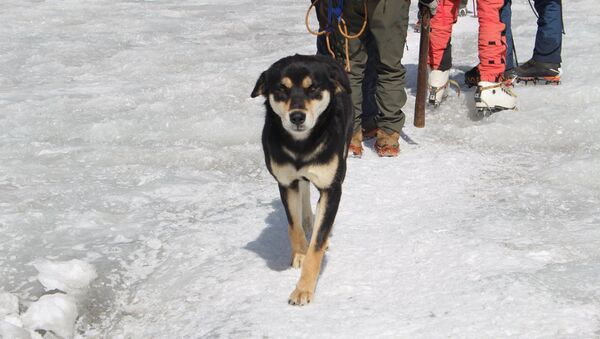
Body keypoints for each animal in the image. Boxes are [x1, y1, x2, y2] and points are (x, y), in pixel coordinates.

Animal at [251, 55, 354, 306]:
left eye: (313, 88)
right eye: (282, 89)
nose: (297, 116)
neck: (301, 146)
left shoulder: (331, 188)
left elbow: (317, 243)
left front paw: (303, 289)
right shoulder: (286, 183)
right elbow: (293, 225)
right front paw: (299, 253)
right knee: (305, 192)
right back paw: (308, 219)